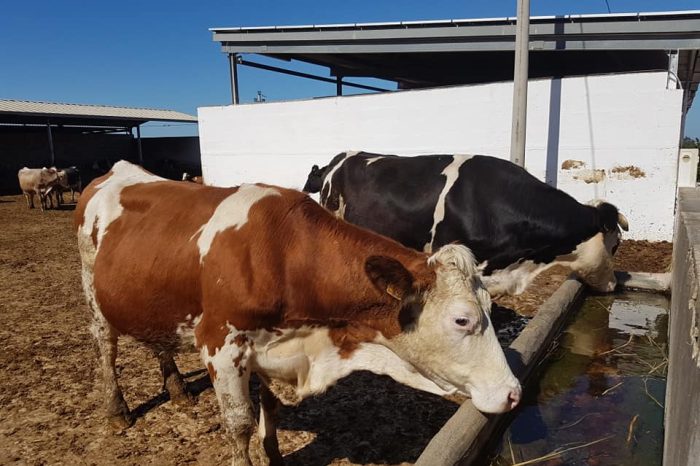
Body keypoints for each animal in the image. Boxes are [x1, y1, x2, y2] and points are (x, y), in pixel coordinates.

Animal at [75, 161, 520, 466]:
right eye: (462, 320)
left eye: (491, 309)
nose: (513, 393)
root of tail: (115, 171)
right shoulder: (221, 344)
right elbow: (238, 423)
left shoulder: (271, 346)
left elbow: (269, 406)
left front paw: (272, 454)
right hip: (94, 297)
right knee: (105, 348)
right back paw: (116, 411)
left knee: (158, 341)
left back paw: (178, 389)